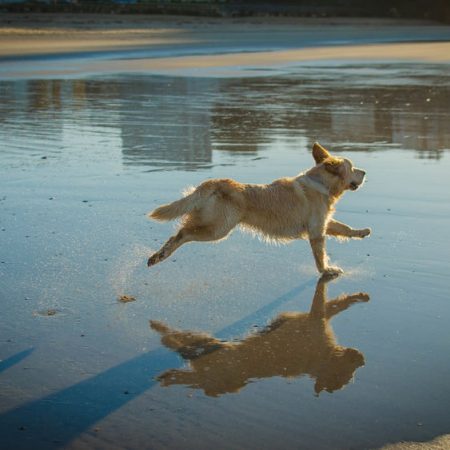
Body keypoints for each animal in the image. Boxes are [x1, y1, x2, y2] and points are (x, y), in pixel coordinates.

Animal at [148, 142, 370, 276]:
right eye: (353, 168)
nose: (366, 172)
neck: (321, 183)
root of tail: (215, 182)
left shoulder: (324, 222)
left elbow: (344, 228)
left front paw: (361, 232)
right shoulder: (316, 230)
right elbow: (320, 255)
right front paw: (326, 270)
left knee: (180, 232)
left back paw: (157, 256)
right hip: (218, 229)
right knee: (182, 234)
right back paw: (160, 255)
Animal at [151, 274, 370, 398]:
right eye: (346, 377)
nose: (363, 361)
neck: (321, 359)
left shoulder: (317, 317)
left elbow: (341, 304)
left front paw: (358, 297)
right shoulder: (317, 316)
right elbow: (337, 304)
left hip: (209, 350)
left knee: (182, 349)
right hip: (214, 366)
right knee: (191, 376)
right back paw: (168, 375)